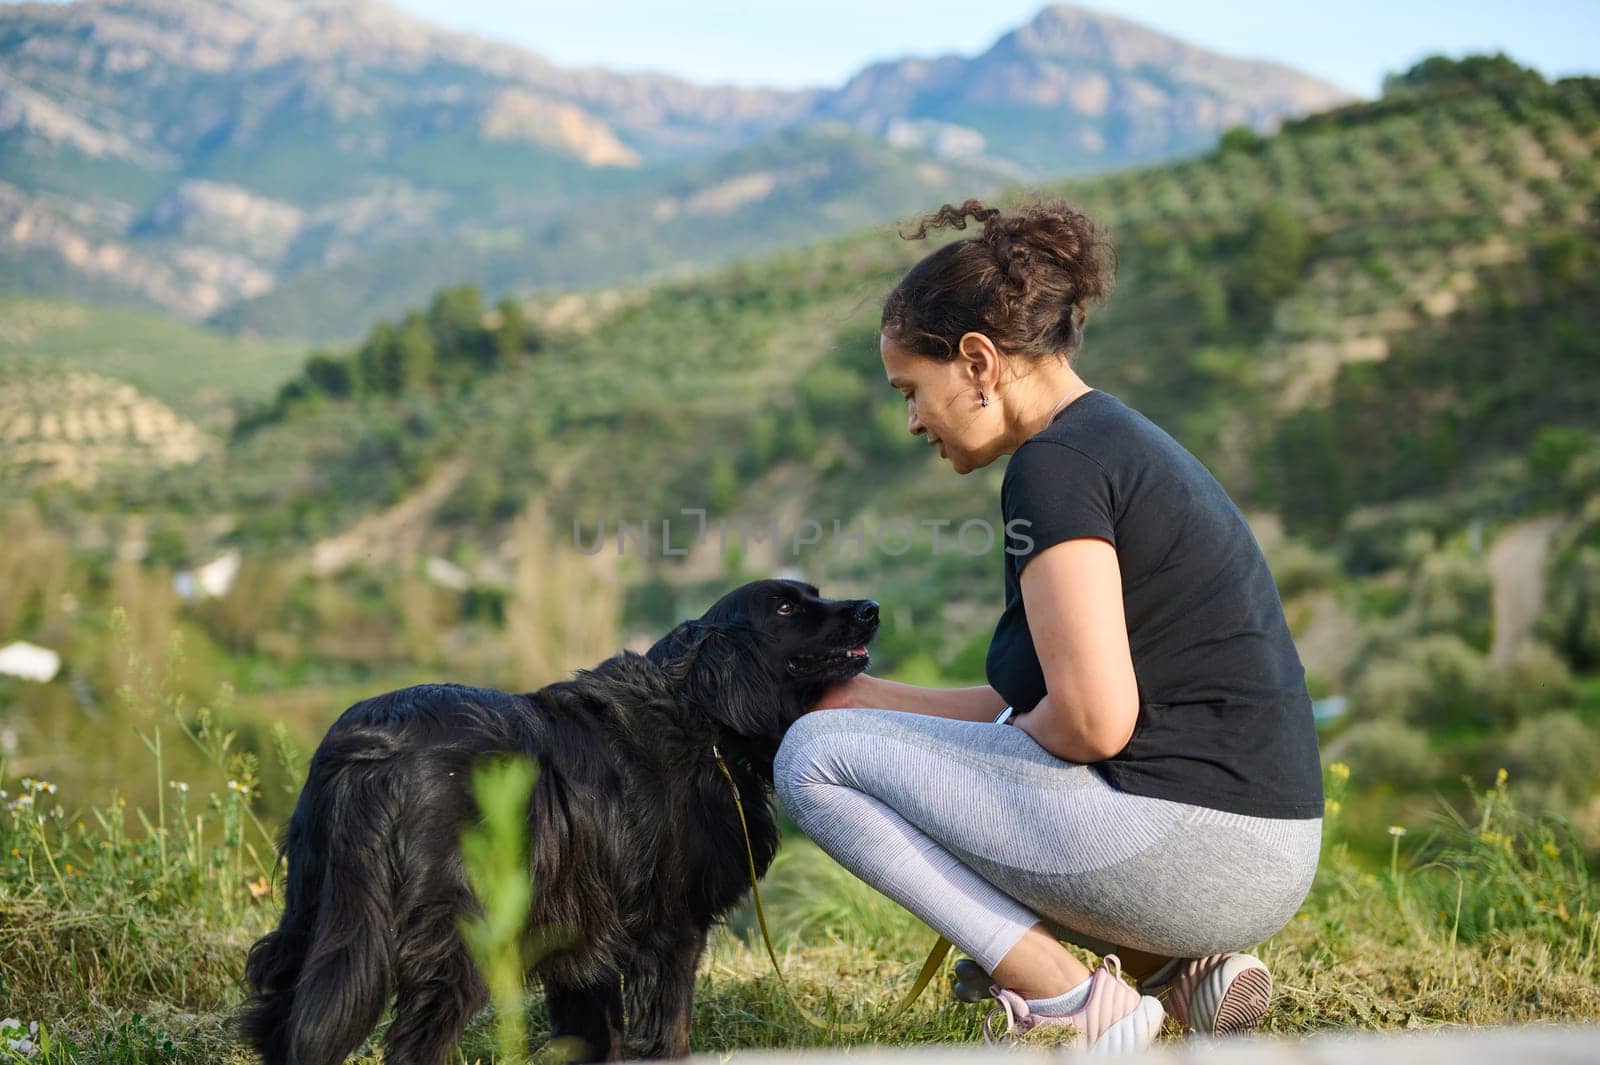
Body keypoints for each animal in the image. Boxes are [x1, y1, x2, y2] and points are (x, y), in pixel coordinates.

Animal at [236, 582, 876, 1061]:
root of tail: (373, 746)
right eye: (786, 607)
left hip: (317, 911)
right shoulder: (672, 931)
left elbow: (594, 1035)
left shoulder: (586, 930)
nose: (871, 609)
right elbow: (669, 1030)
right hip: (455, 937)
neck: (703, 712)